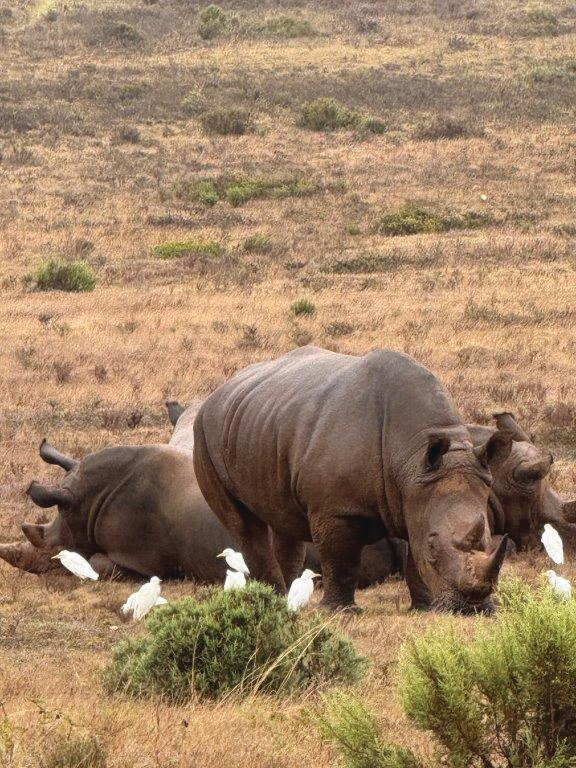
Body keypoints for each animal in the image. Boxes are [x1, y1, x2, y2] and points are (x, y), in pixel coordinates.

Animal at [193, 346, 512, 613]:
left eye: (488, 538)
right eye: (434, 547)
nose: (472, 608)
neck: (411, 456)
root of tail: (217, 392)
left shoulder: (416, 491)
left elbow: (413, 553)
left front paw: (424, 607)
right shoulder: (336, 509)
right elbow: (341, 559)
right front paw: (341, 611)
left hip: (263, 422)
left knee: (282, 517)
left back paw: (285, 598)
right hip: (205, 434)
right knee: (245, 526)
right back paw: (269, 601)